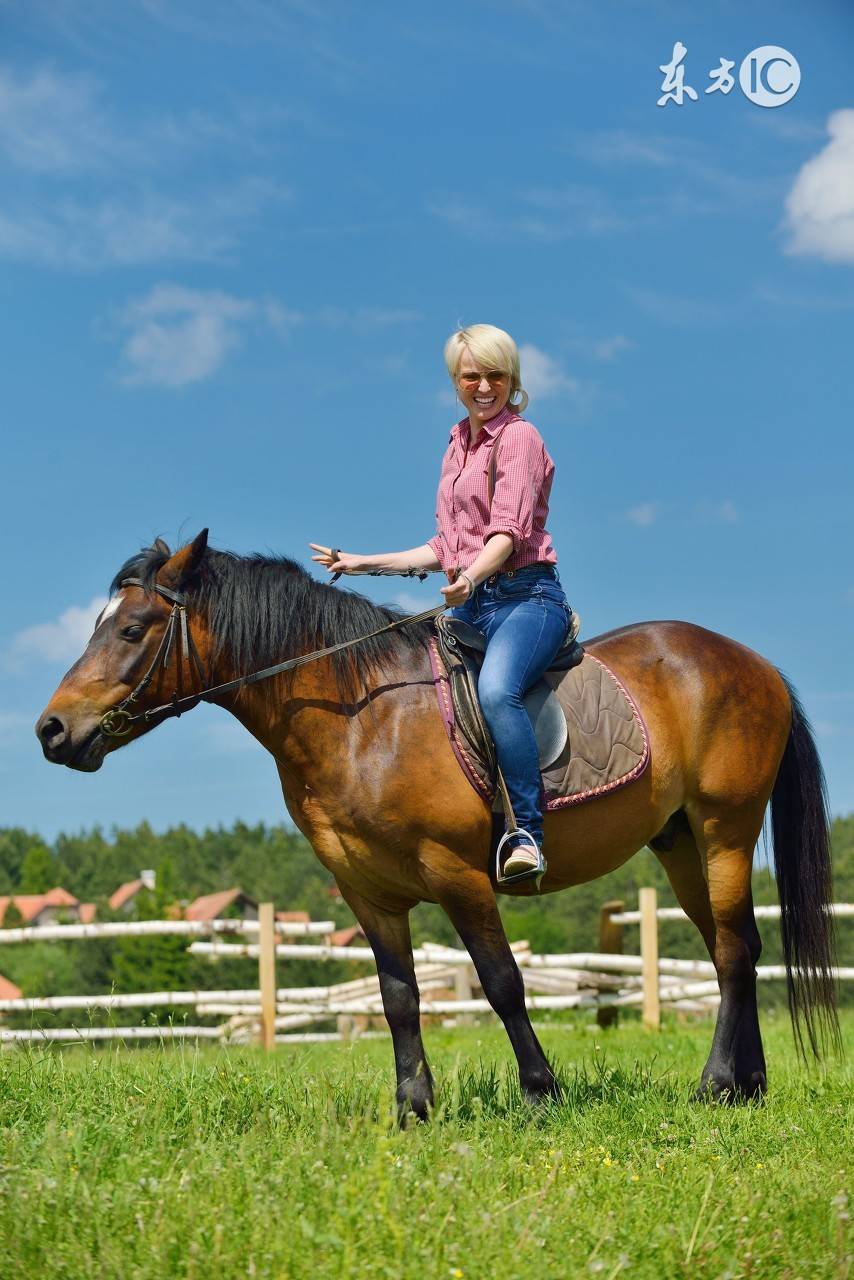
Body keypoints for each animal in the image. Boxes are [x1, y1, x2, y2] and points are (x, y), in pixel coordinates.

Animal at [36, 527, 839, 1111]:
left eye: (133, 630)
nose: (51, 730)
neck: (361, 719)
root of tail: (754, 663)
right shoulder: (368, 893)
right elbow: (399, 998)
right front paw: (413, 1108)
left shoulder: (458, 875)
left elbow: (502, 981)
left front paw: (541, 1094)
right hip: (678, 843)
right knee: (739, 949)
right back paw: (747, 1087)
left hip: (725, 829)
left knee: (731, 951)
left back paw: (715, 1086)